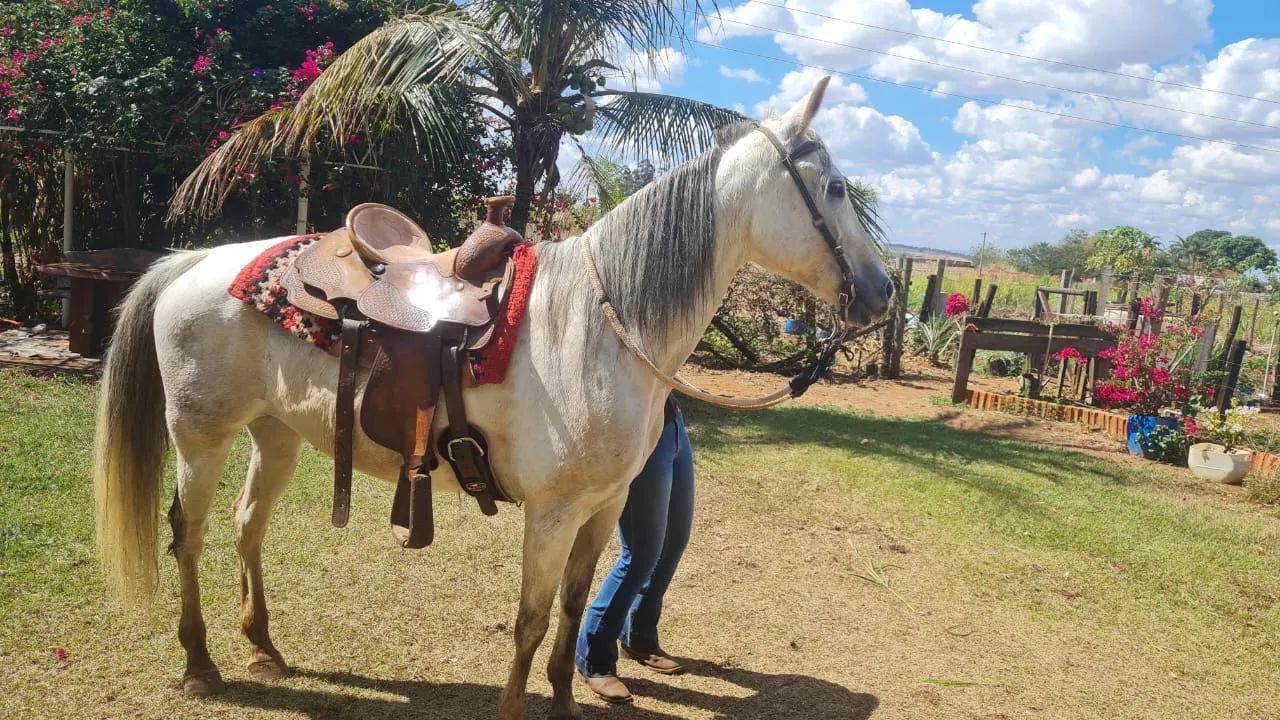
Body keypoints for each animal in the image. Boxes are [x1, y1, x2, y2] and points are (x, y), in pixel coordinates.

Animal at [93, 76, 892, 720]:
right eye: (834, 189)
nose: (883, 291)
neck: (598, 329)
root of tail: (197, 261)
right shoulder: (552, 513)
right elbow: (531, 622)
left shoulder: (603, 508)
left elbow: (572, 608)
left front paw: (565, 704)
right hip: (201, 437)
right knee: (188, 532)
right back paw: (201, 665)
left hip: (276, 434)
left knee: (246, 526)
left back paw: (263, 648)